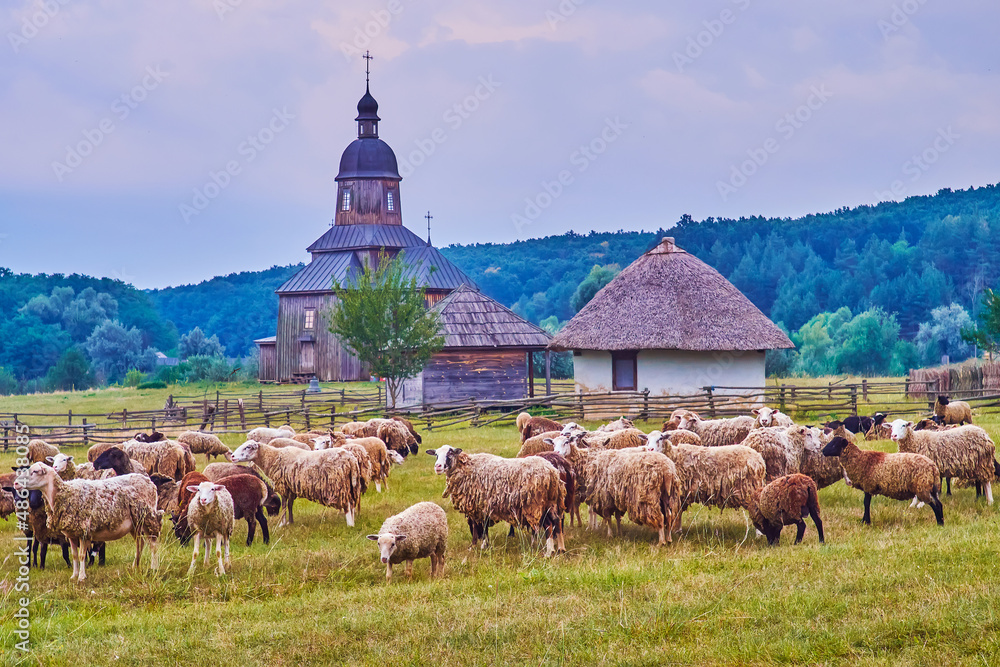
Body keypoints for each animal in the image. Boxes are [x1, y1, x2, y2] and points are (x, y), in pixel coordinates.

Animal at [20, 462, 162, 580]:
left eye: (35, 471)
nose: (16, 484)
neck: (64, 494)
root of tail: (148, 481)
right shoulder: (71, 534)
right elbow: (74, 555)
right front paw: (74, 576)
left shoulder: (84, 531)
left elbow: (82, 555)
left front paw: (82, 577)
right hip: (135, 523)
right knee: (140, 543)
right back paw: (135, 567)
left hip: (148, 517)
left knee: (153, 544)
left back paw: (154, 568)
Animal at [230, 440, 364, 528]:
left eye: (248, 447)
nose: (232, 456)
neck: (274, 457)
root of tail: (351, 460)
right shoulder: (291, 487)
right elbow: (289, 505)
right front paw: (291, 522)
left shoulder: (283, 485)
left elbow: (284, 505)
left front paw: (282, 524)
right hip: (351, 485)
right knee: (352, 504)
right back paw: (353, 520)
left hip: (339, 485)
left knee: (347, 504)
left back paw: (350, 524)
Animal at [428, 446, 568, 556]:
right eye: (436, 455)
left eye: (450, 453)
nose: (438, 466)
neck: (466, 468)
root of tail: (552, 472)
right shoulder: (480, 506)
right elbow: (480, 526)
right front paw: (480, 545)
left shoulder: (479, 505)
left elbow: (479, 527)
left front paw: (478, 546)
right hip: (551, 502)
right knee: (557, 521)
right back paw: (561, 549)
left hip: (536, 504)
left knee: (548, 525)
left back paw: (549, 552)